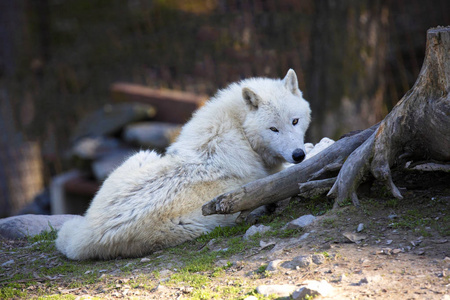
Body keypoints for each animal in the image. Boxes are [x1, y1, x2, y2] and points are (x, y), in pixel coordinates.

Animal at [56, 69, 312, 258]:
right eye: (273, 129)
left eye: (295, 121)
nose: (298, 155)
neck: (240, 131)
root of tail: (84, 237)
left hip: (141, 157)